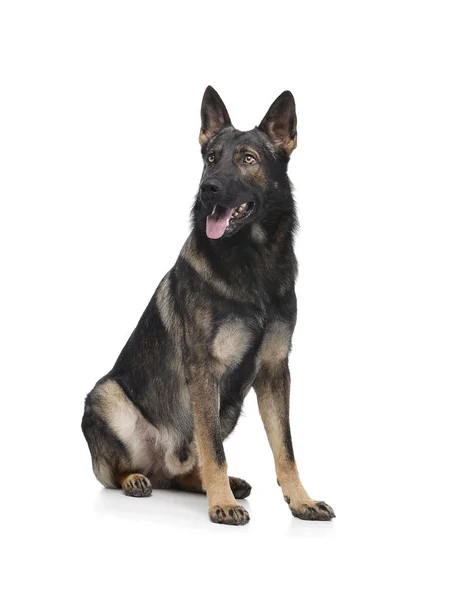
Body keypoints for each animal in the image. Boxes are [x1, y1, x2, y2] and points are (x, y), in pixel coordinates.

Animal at [81, 84, 336, 524]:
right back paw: (138, 479)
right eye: (211, 159)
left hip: (229, 403)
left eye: (248, 159)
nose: (208, 189)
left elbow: (285, 449)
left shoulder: (274, 371)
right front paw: (222, 504)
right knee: (117, 472)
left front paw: (300, 499)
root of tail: (161, 466)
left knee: (189, 466)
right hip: (106, 395)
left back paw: (215, 483)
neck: (253, 263)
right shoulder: (204, 371)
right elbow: (214, 449)